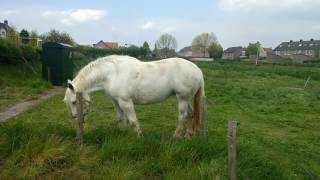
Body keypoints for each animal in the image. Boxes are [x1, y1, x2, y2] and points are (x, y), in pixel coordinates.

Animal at [63, 55, 205, 139]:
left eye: (74, 102)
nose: (76, 119)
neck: (111, 74)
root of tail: (198, 70)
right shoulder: (116, 102)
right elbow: (120, 118)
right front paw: (122, 133)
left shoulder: (125, 101)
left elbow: (133, 120)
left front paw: (139, 137)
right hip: (186, 99)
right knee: (191, 114)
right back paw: (188, 136)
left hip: (182, 98)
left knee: (182, 116)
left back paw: (176, 136)